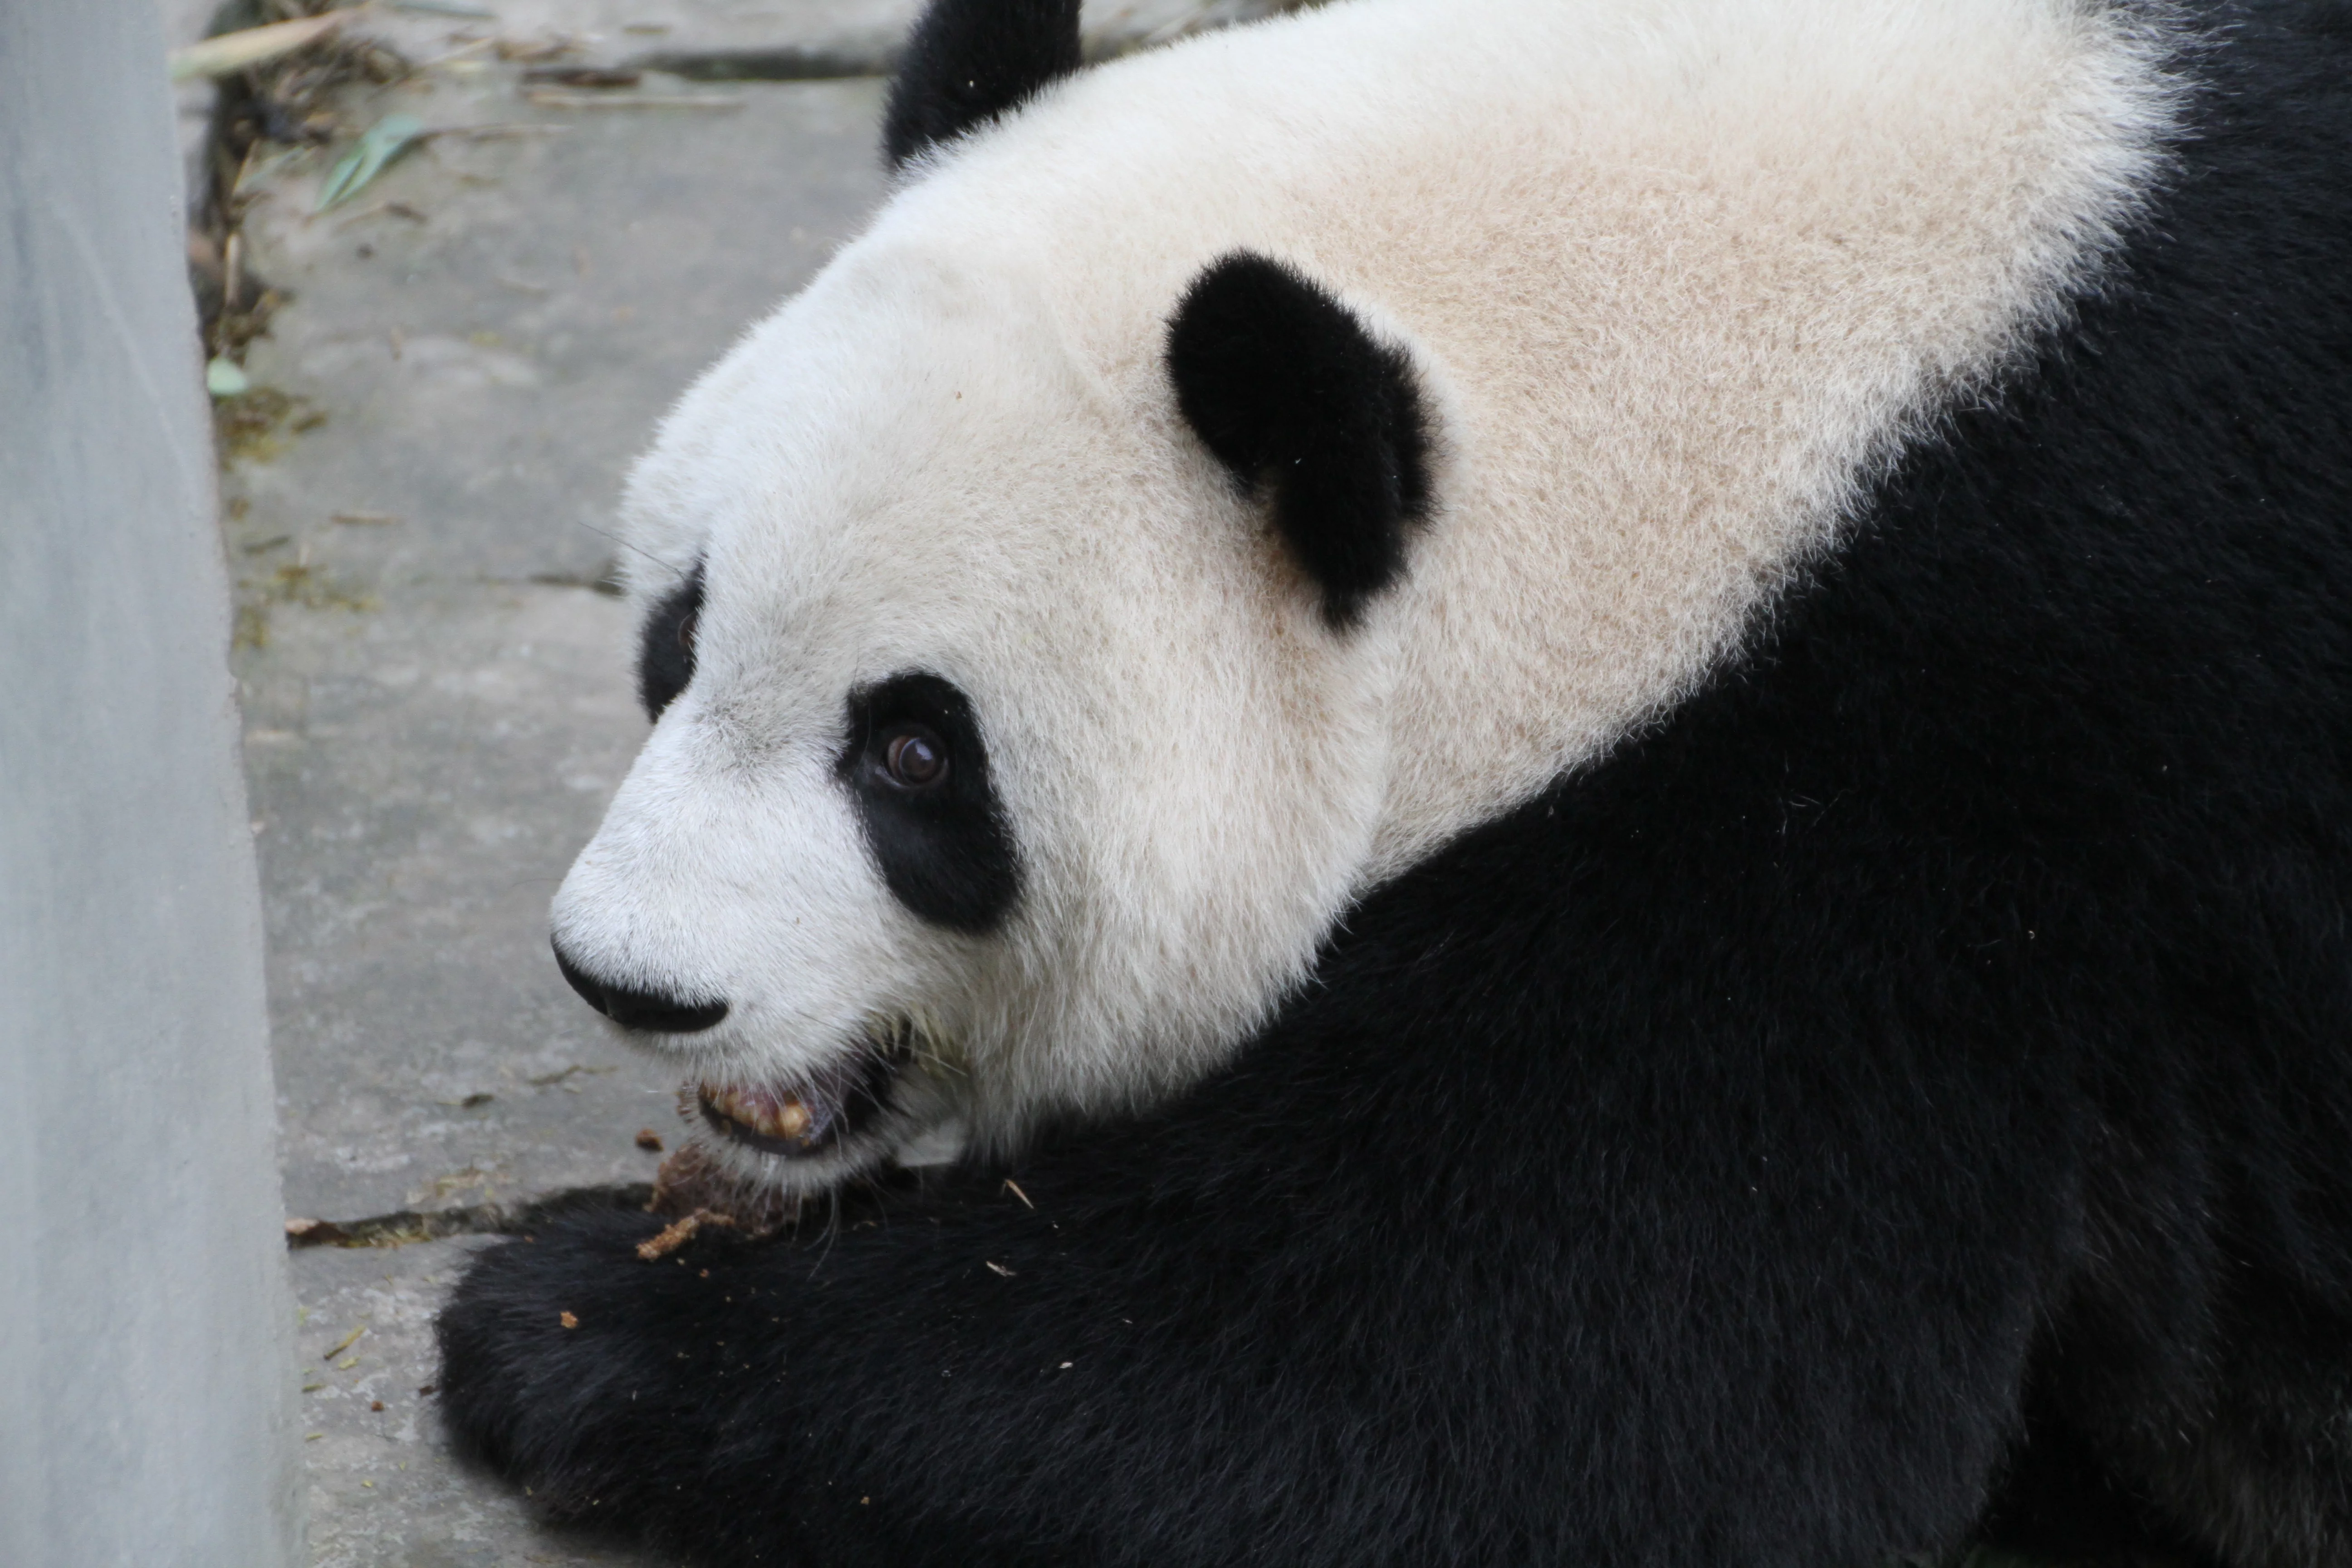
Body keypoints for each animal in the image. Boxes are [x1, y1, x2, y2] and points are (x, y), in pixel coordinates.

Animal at [435, 0, 2352, 1563]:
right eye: (677, 635)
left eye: (914, 753)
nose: (629, 980)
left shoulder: (1911, 778)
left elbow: (1491, 1392)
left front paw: (569, 1321)